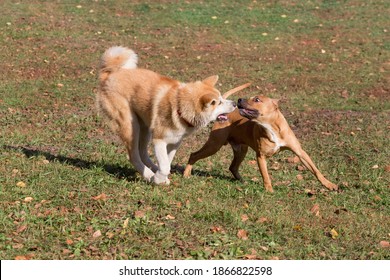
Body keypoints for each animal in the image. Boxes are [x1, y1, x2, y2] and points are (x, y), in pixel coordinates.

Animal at [184, 95, 336, 191]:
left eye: (257, 99)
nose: (239, 99)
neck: (271, 127)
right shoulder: (261, 156)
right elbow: (266, 176)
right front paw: (269, 190)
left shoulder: (300, 153)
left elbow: (316, 170)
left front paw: (329, 185)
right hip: (214, 145)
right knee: (194, 155)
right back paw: (186, 174)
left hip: (241, 150)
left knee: (233, 167)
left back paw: (242, 181)